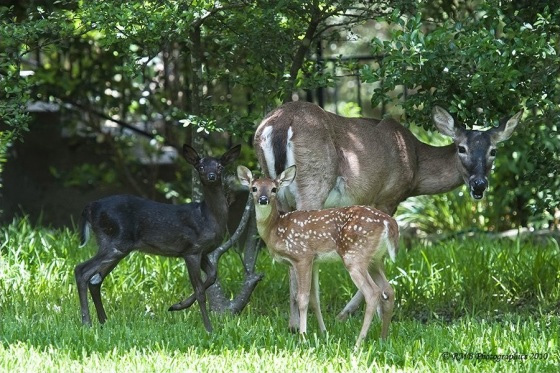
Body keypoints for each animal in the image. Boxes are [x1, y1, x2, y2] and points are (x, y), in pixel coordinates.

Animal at [74, 143, 241, 332]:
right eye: (200, 167)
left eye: (220, 166)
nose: (211, 176)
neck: (207, 218)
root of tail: (90, 207)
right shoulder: (192, 249)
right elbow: (200, 291)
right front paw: (208, 328)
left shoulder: (202, 251)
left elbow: (212, 275)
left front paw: (177, 305)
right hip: (114, 242)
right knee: (81, 271)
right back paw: (87, 322)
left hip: (116, 246)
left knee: (95, 280)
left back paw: (103, 321)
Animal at [238, 164, 400, 348]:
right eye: (254, 188)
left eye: (274, 189)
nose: (263, 199)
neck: (275, 229)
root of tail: (389, 222)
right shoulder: (315, 261)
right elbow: (315, 299)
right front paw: (323, 333)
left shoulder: (302, 256)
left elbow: (302, 298)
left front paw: (303, 337)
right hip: (375, 259)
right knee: (388, 290)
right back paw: (383, 339)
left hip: (354, 256)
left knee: (373, 293)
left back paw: (358, 344)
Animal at [256, 100, 524, 326]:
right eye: (462, 148)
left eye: (493, 150)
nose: (479, 184)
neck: (415, 164)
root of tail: (280, 124)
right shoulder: (386, 198)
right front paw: (358, 313)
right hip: (313, 185)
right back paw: (303, 325)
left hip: (278, 192)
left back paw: (294, 324)